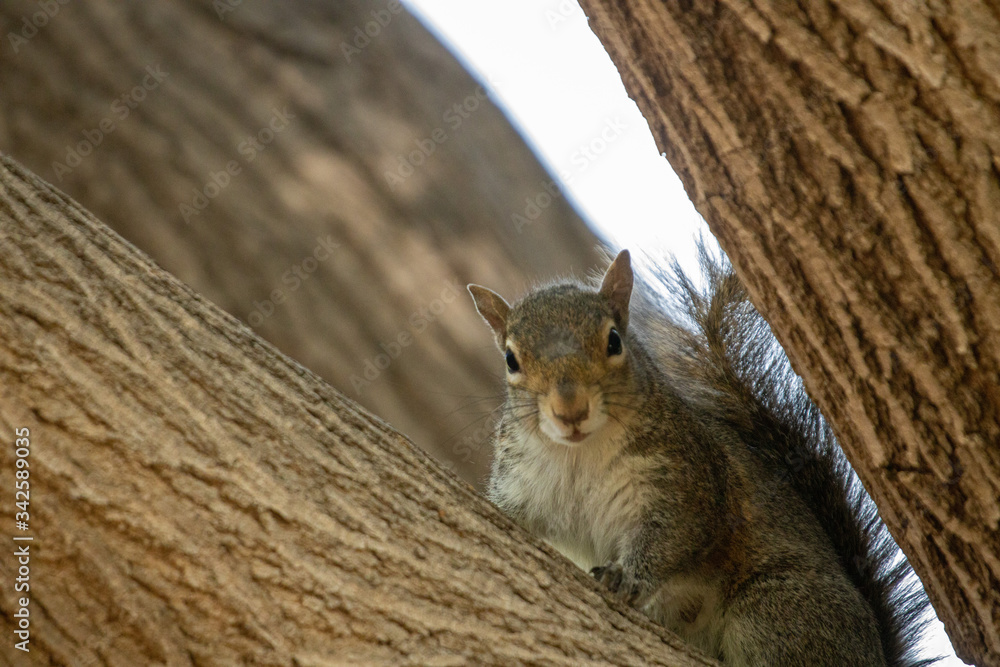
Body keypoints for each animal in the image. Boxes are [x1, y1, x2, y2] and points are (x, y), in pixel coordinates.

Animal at [468, 248, 937, 666]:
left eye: (614, 341)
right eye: (510, 359)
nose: (570, 410)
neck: (578, 454)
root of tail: (875, 652)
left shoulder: (688, 481)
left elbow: (673, 537)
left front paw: (626, 578)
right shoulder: (522, 484)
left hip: (775, 610)